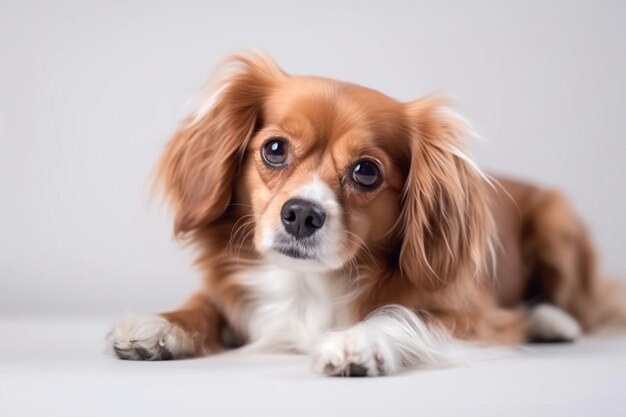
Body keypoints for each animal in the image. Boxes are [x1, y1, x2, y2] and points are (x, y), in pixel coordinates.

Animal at [105, 53, 620, 376]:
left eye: (366, 172)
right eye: (274, 149)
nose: (301, 214)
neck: (306, 284)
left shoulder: (469, 316)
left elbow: (399, 316)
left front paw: (358, 342)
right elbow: (203, 305)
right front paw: (159, 325)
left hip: (556, 223)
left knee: (588, 306)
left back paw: (552, 321)